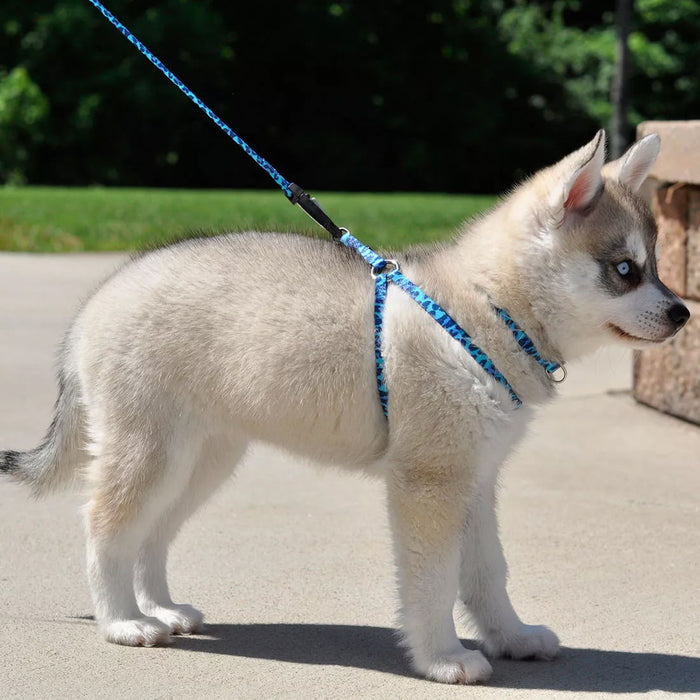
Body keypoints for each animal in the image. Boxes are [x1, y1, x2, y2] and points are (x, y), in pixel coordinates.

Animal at [0, 131, 688, 684]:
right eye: (624, 269)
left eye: (655, 264)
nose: (683, 313)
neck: (481, 309)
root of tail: (101, 295)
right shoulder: (429, 483)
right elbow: (434, 580)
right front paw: (443, 657)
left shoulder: (475, 481)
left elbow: (488, 572)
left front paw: (512, 637)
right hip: (152, 450)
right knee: (106, 526)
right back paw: (123, 622)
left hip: (202, 461)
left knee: (152, 533)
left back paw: (161, 609)